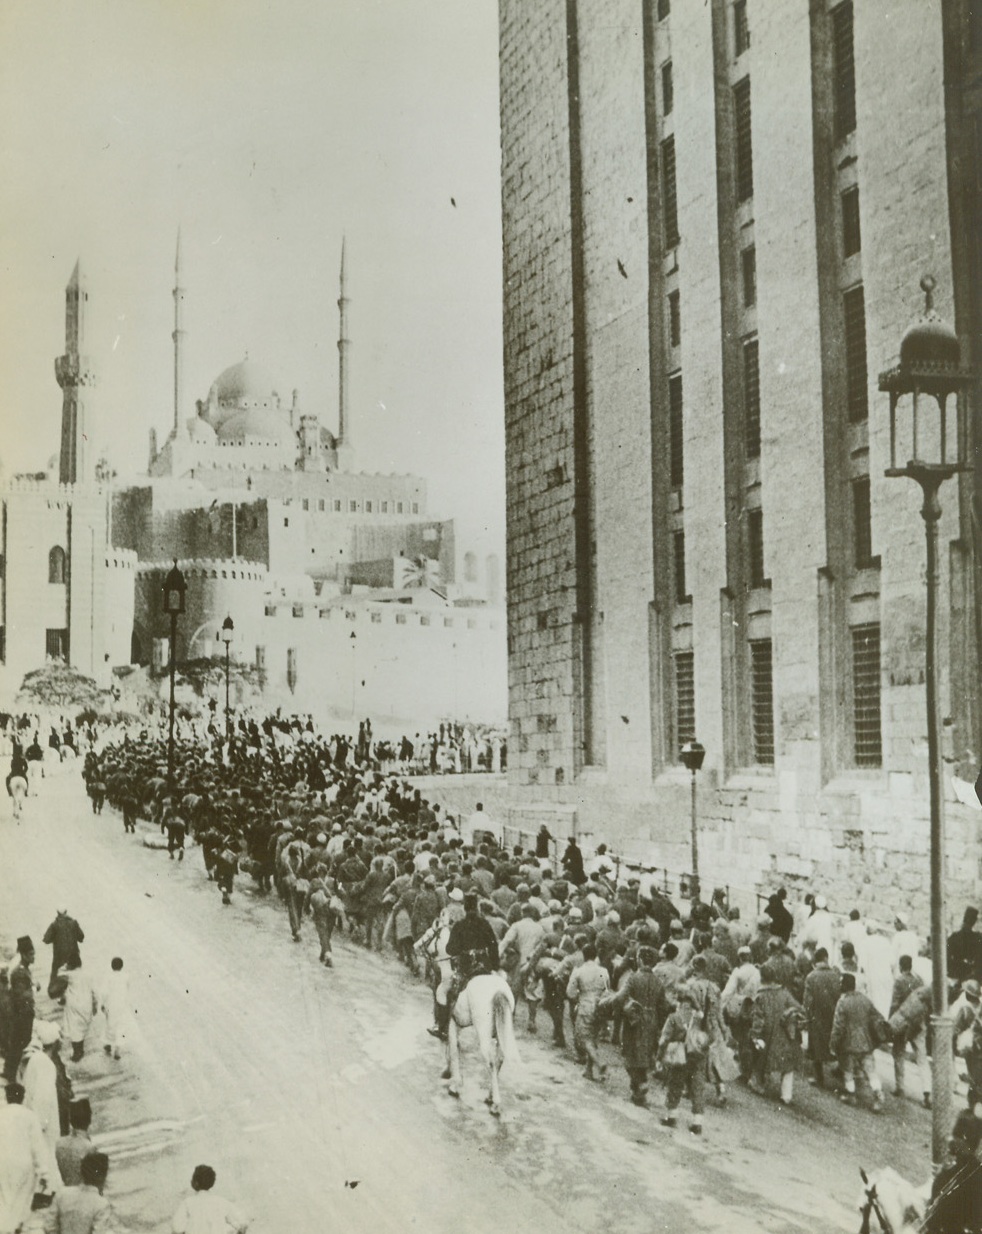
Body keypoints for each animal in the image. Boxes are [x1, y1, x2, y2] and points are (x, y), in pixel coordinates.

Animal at [446, 972, 520, 1120]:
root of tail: (498, 990)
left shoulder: (454, 1021)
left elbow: (454, 1049)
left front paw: (454, 1085)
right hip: (501, 1035)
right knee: (498, 1061)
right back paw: (490, 1096)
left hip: (483, 1035)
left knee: (491, 1063)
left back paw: (496, 1104)